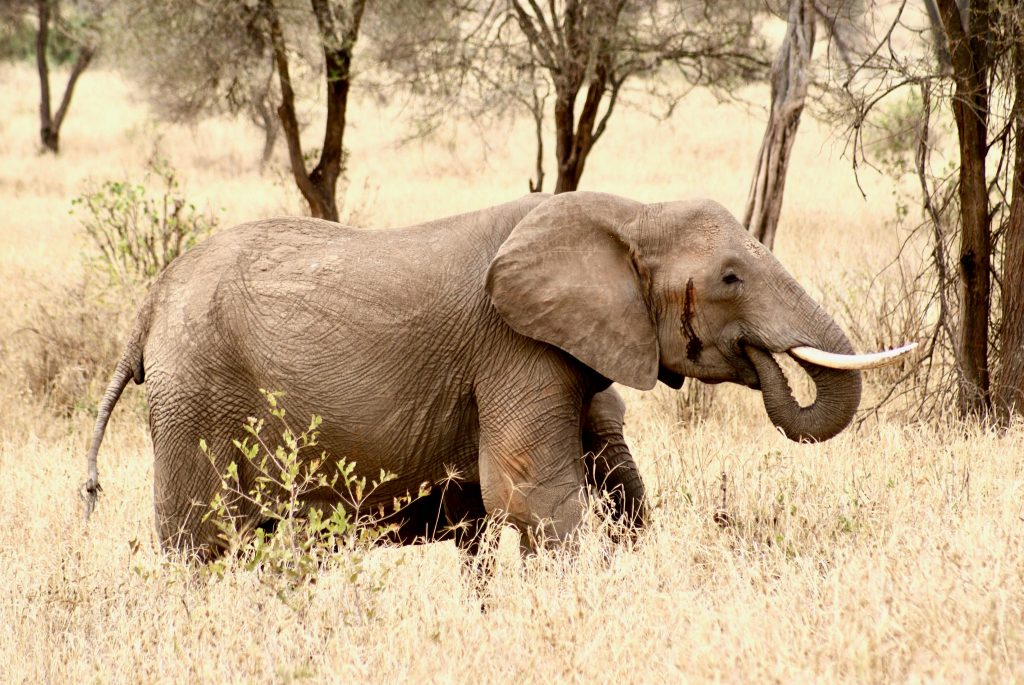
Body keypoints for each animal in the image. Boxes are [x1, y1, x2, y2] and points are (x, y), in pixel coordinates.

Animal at [82, 191, 911, 556]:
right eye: (732, 277)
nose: (768, 358)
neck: (626, 212)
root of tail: (149, 303)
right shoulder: (513, 346)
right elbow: (534, 496)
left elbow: (617, 478)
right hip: (197, 392)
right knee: (202, 536)